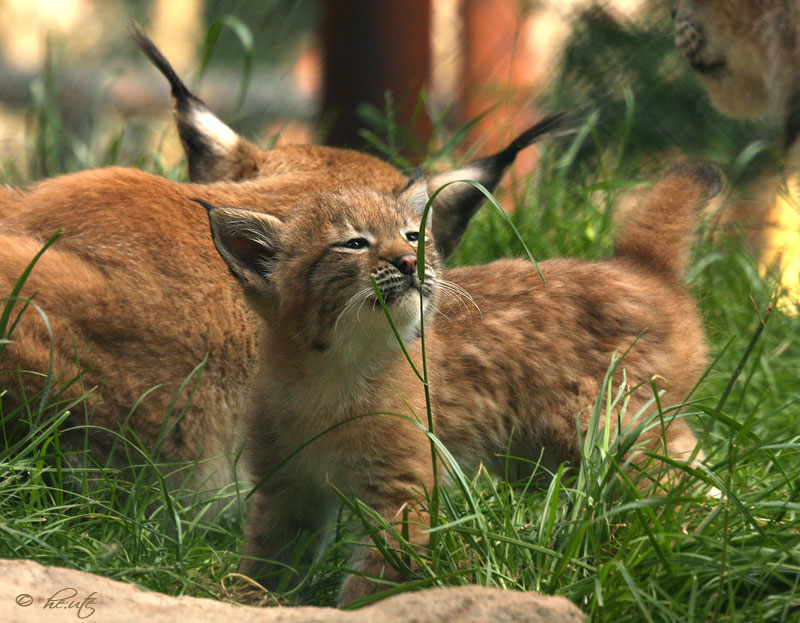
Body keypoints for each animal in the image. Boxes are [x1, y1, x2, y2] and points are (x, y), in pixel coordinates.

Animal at [198, 160, 720, 604]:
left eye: (413, 235)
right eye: (354, 244)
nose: (410, 262)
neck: (330, 372)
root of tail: (638, 267)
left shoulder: (401, 491)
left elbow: (375, 577)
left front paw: (354, 611)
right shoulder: (287, 486)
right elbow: (267, 559)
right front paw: (243, 601)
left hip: (613, 427)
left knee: (685, 475)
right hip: (543, 453)